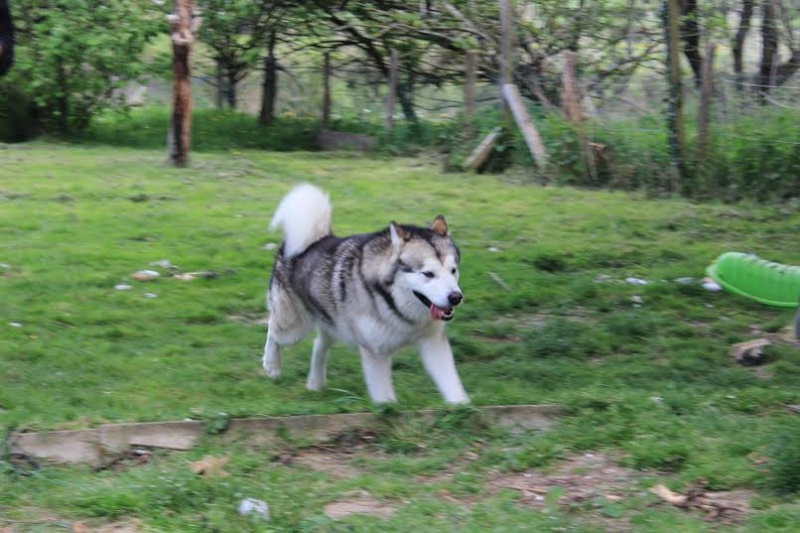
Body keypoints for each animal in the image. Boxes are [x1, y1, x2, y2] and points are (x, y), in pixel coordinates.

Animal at [260, 183, 468, 404]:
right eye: (428, 274)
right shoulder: (376, 353)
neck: (398, 307)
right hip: (293, 329)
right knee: (273, 329)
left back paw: (315, 383)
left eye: (453, 270)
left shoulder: (433, 343)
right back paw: (272, 365)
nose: (456, 297)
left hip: (331, 324)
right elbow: (385, 401)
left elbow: (453, 387)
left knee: (319, 344)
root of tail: (313, 239)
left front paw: (462, 408)